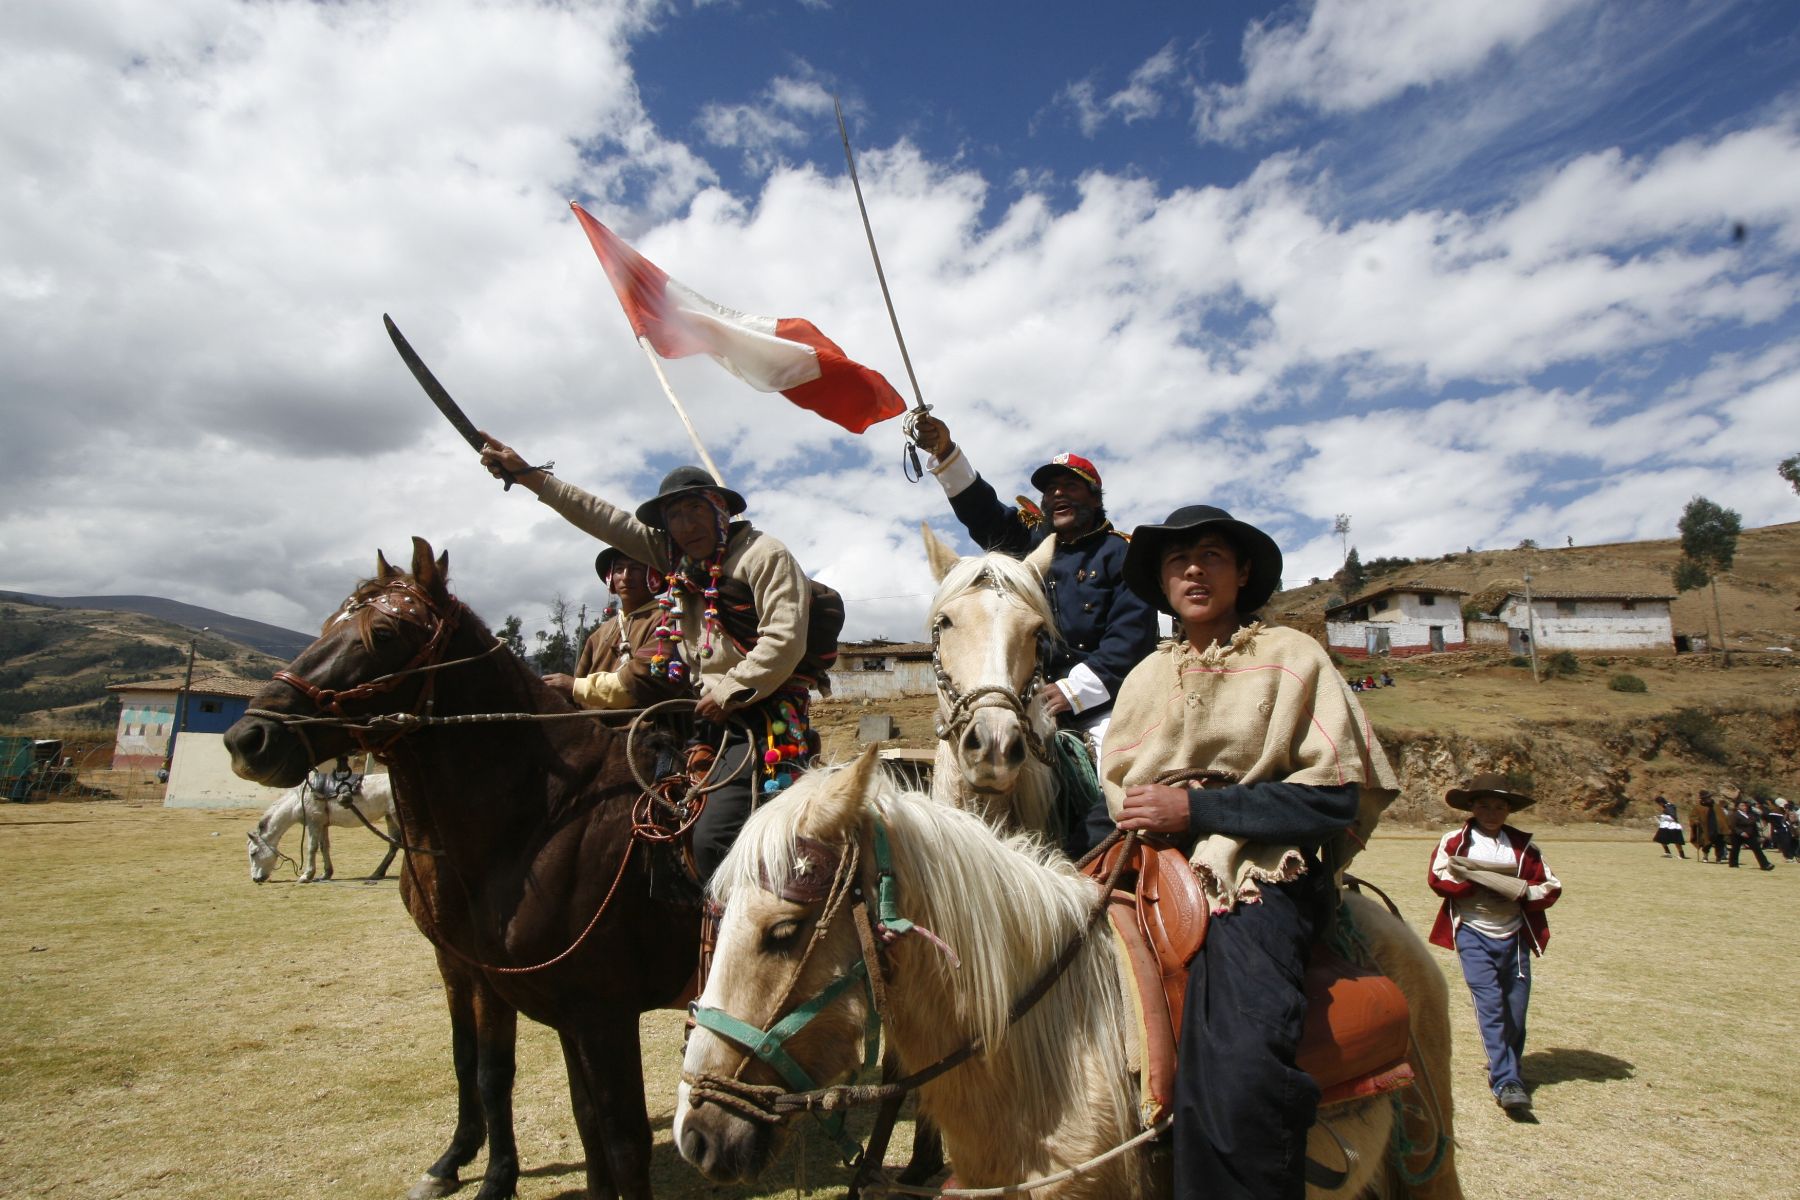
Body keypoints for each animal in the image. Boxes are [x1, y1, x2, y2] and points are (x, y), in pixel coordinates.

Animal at [246, 773, 397, 888]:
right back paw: (377, 873)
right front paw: (326, 874)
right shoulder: (323, 825)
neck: (299, 800)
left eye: (253, 853)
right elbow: (324, 847)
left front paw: (306, 875)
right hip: (390, 817)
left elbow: (311, 848)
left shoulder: (314, 824)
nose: (255, 879)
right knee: (394, 845)